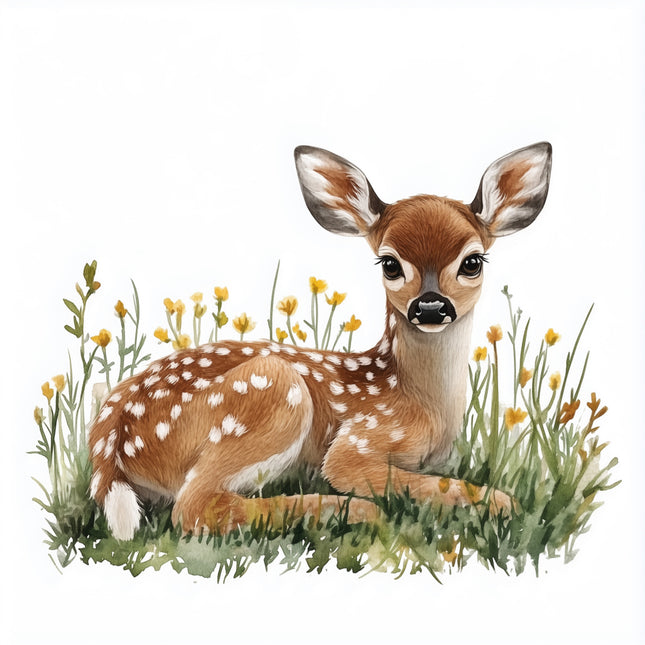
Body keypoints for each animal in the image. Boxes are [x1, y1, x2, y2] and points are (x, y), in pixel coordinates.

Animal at [89, 142, 552, 540]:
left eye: (472, 261)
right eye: (389, 263)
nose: (431, 307)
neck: (423, 404)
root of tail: (108, 439)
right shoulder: (360, 439)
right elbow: (384, 476)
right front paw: (502, 502)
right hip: (275, 391)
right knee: (194, 507)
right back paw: (350, 511)